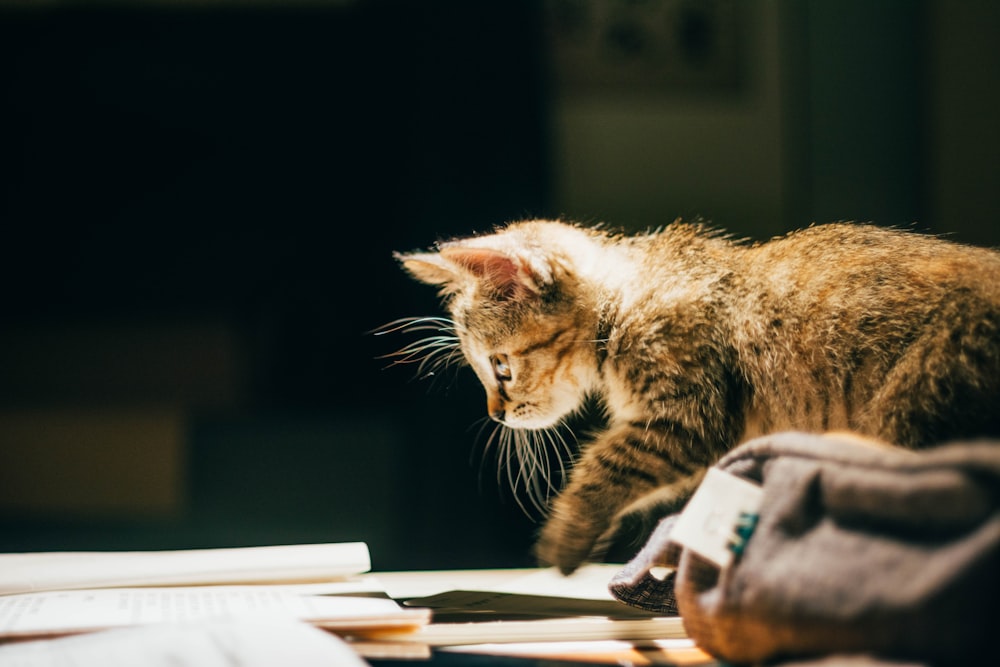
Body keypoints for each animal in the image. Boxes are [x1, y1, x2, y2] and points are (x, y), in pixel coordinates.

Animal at [388, 220, 1000, 576]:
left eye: (500, 368)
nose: (496, 414)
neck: (628, 299)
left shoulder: (685, 415)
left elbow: (603, 466)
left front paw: (566, 537)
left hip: (915, 403)